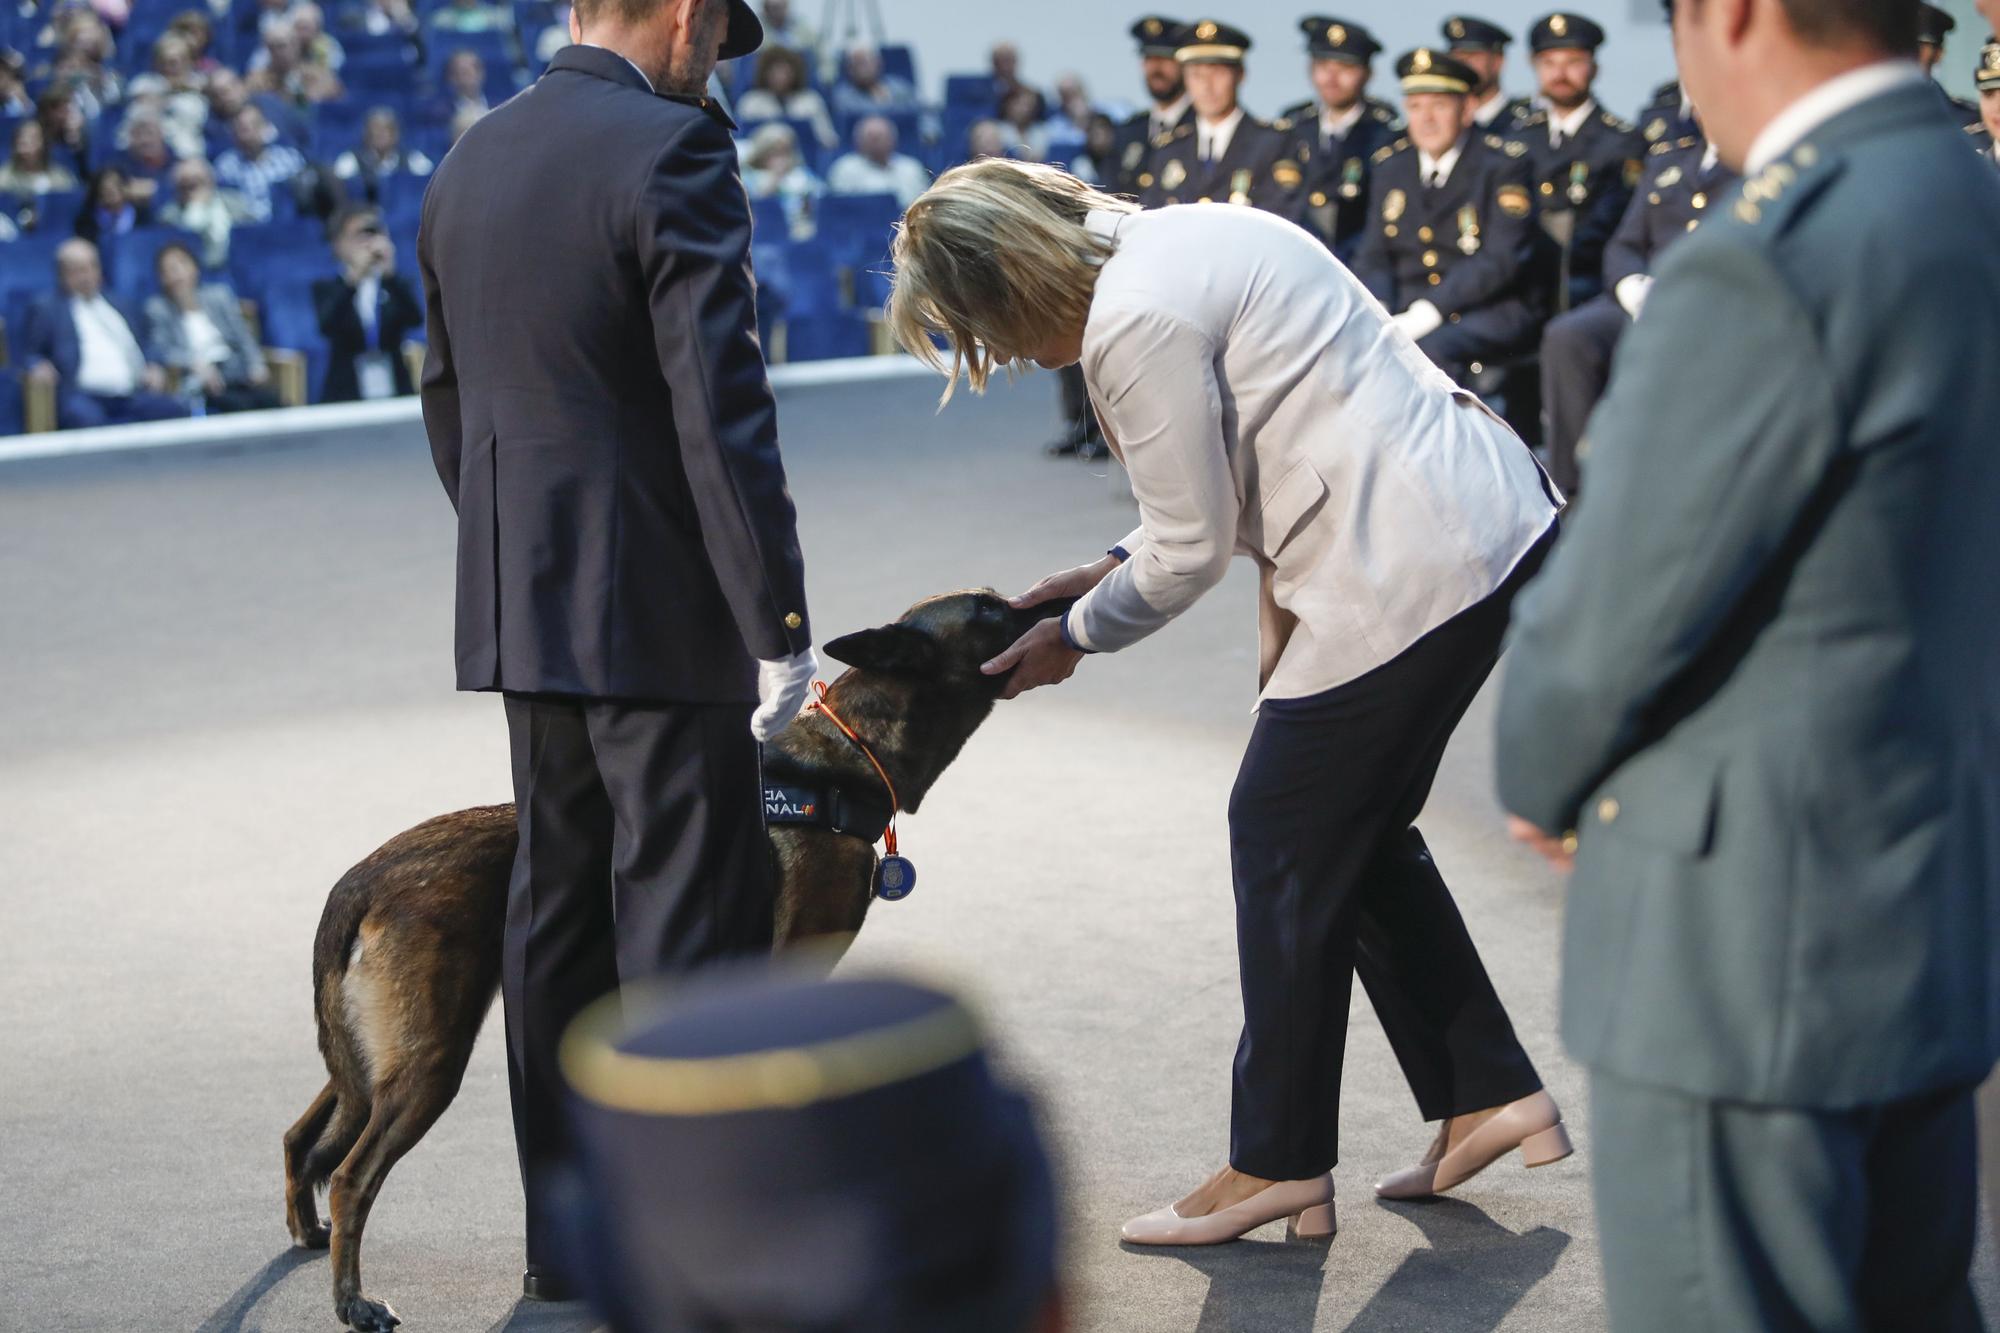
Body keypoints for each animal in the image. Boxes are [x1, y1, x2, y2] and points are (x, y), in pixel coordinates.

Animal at [282, 588, 1080, 1320]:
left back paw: (307, 1230)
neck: (848, 760)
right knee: (351, 1174)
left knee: (301, 1135)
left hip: (375, 1062)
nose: (1064, 601)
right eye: (989, 610)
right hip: (430, 1061)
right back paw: (352, 1300)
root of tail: (361, 880)